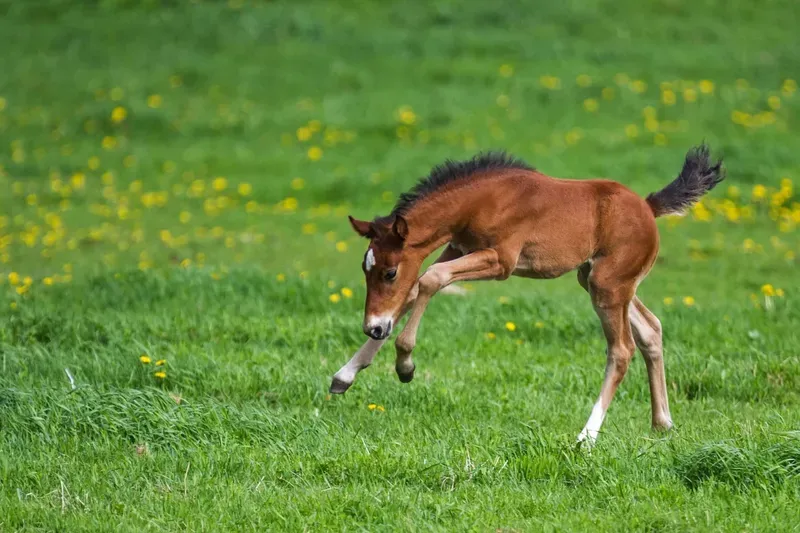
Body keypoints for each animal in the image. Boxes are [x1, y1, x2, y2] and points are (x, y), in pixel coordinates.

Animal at [330, 145, 724, 444]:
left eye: (389, 271)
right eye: (365, 269)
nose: (372, 327)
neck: (480, 201)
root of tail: (648, 207)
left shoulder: (501, 260)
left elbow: (428, 280)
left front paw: (405, 364)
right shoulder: (457, 248)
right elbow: (415, 290)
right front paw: (345, 374)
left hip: (608, 284)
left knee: (622, 350)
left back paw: (586, 437)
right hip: (597, 278)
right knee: (651, 329)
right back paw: (662, 423)